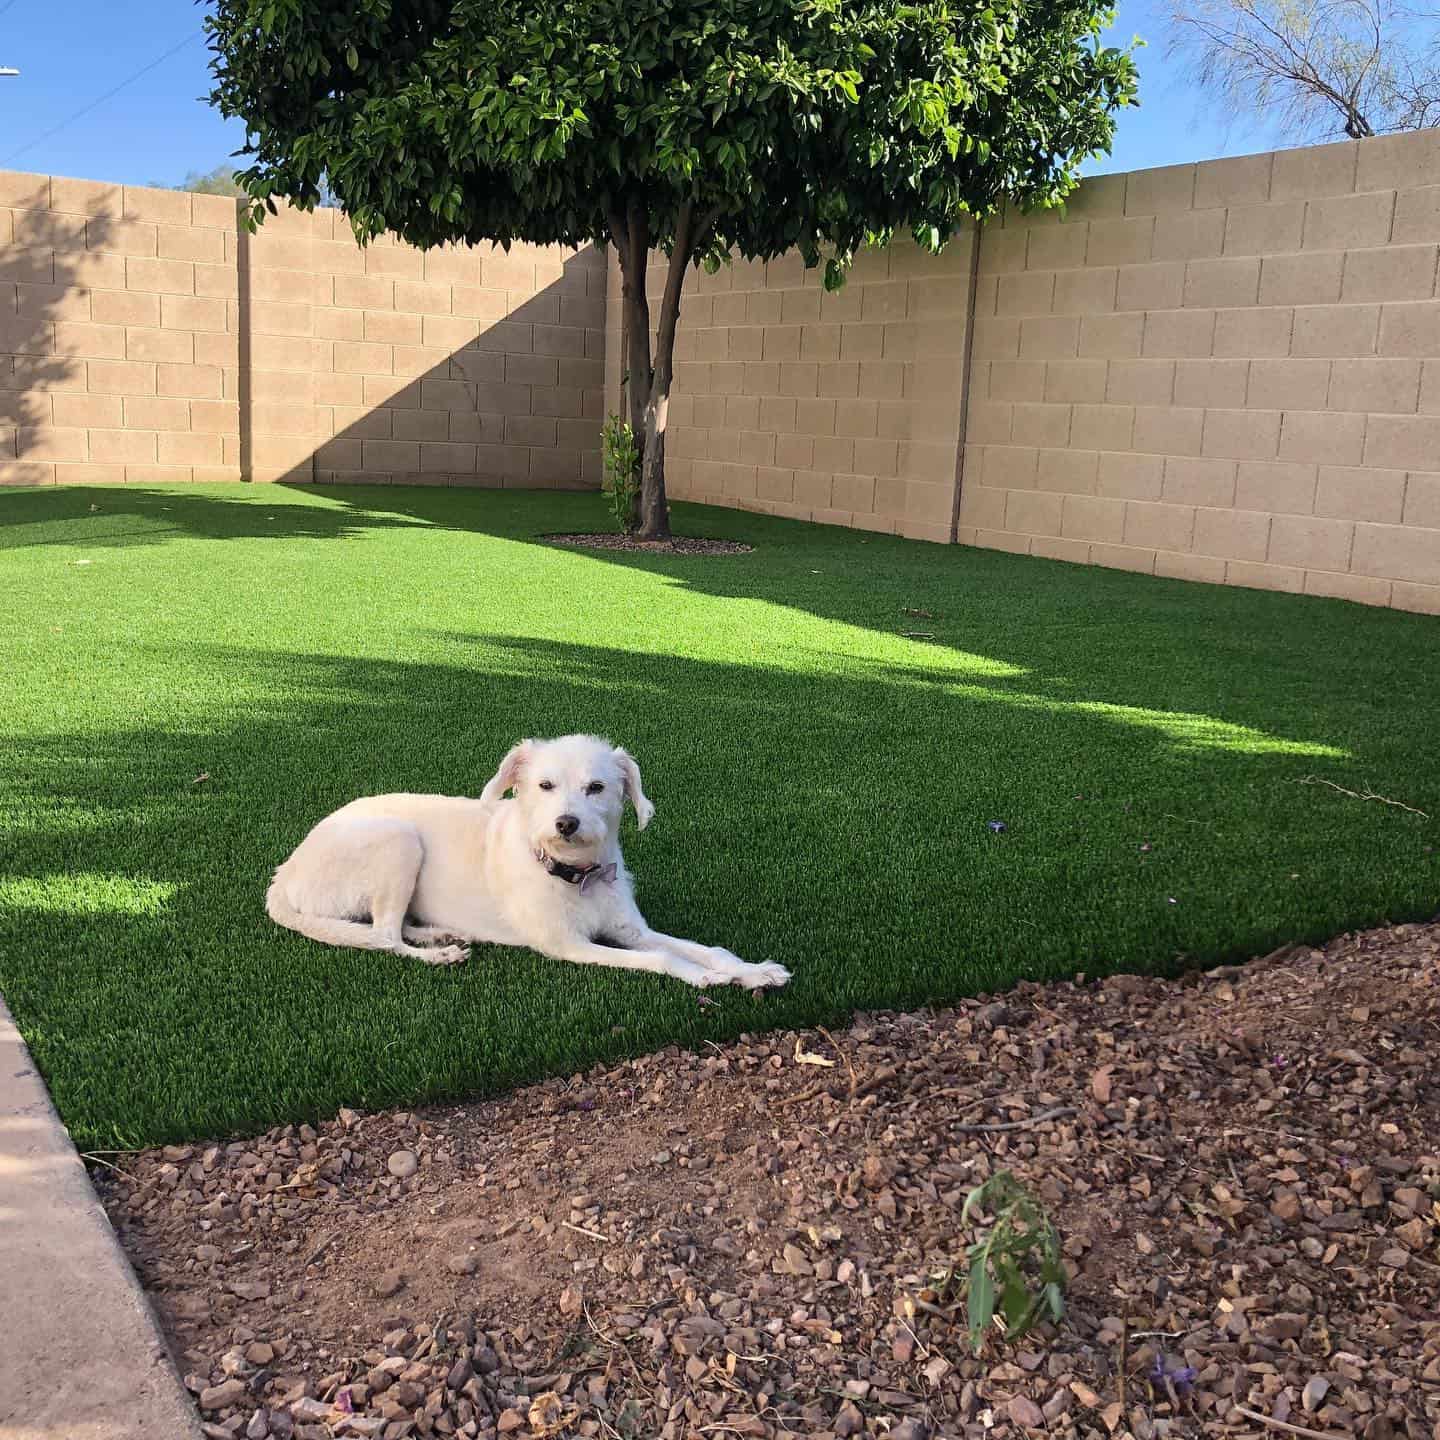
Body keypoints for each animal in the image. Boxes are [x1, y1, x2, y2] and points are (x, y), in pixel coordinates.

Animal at [264, 731, 794, 990]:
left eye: (596, 787)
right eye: (544, 785)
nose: (566, 823)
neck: (575, 875)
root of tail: (284, 874)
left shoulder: (631, 931)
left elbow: (707, 947)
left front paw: (753, 970)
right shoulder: (569, 946)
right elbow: (665, 958)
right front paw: (704, 976)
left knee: (394, 926)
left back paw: (440, 933)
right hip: (399, 839)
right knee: (382, 936)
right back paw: (438, 954)